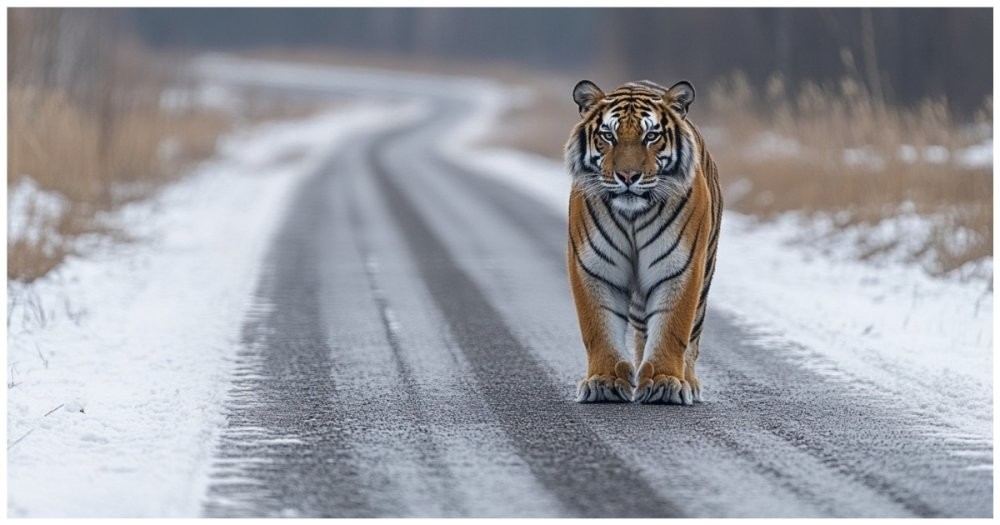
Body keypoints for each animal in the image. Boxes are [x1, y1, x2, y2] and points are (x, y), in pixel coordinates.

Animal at [564, 79, 720, 406]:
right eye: (608, 136)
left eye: (651, 136)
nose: (628, 176)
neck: (632, 215)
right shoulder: (593, 266)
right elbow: (598, 326)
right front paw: (604, 381)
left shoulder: (679, 267)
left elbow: (673, 326)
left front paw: (665, 383)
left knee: (692, 333)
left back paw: (688, 381)